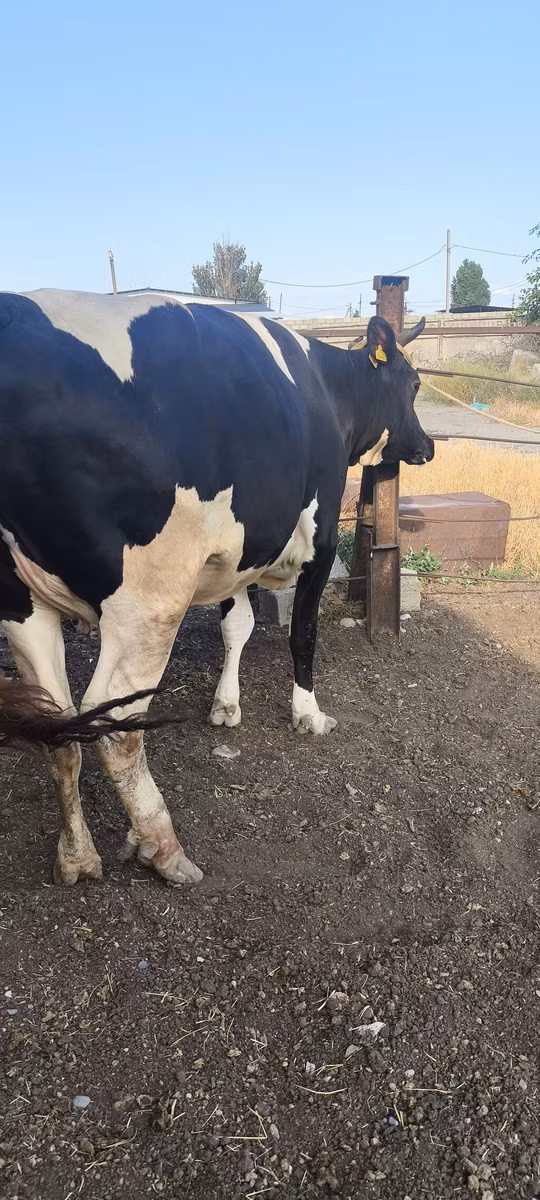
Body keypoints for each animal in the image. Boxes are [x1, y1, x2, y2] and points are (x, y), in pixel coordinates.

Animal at [0, 289, 433, 886]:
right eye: (414, 384)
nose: (429, 446)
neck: (329, 391)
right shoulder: (319, 539)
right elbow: (302, 634)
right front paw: (307, 713)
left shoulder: (237, 555)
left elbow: (238, 626)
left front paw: (226, 705)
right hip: (149, 603)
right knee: (114, 723)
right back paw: (163, 846)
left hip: (22, 603)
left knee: (62, 728)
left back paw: (78, 856)